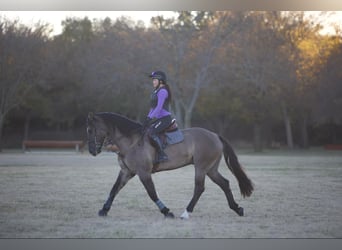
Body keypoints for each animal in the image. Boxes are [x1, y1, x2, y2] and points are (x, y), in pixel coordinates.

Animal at [87, 112, 252, 219]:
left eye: (91, 130)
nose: (92, 151)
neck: (131, 142)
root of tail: (215, 135)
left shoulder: (143, 173)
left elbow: (152, 193)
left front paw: (167, 211)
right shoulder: (126, 172)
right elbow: (114, 189)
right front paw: (104, 210)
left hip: (201, 167)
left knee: (199, 188)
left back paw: (186, 213)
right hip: (211, 169)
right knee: (224, 183)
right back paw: (237, 209)